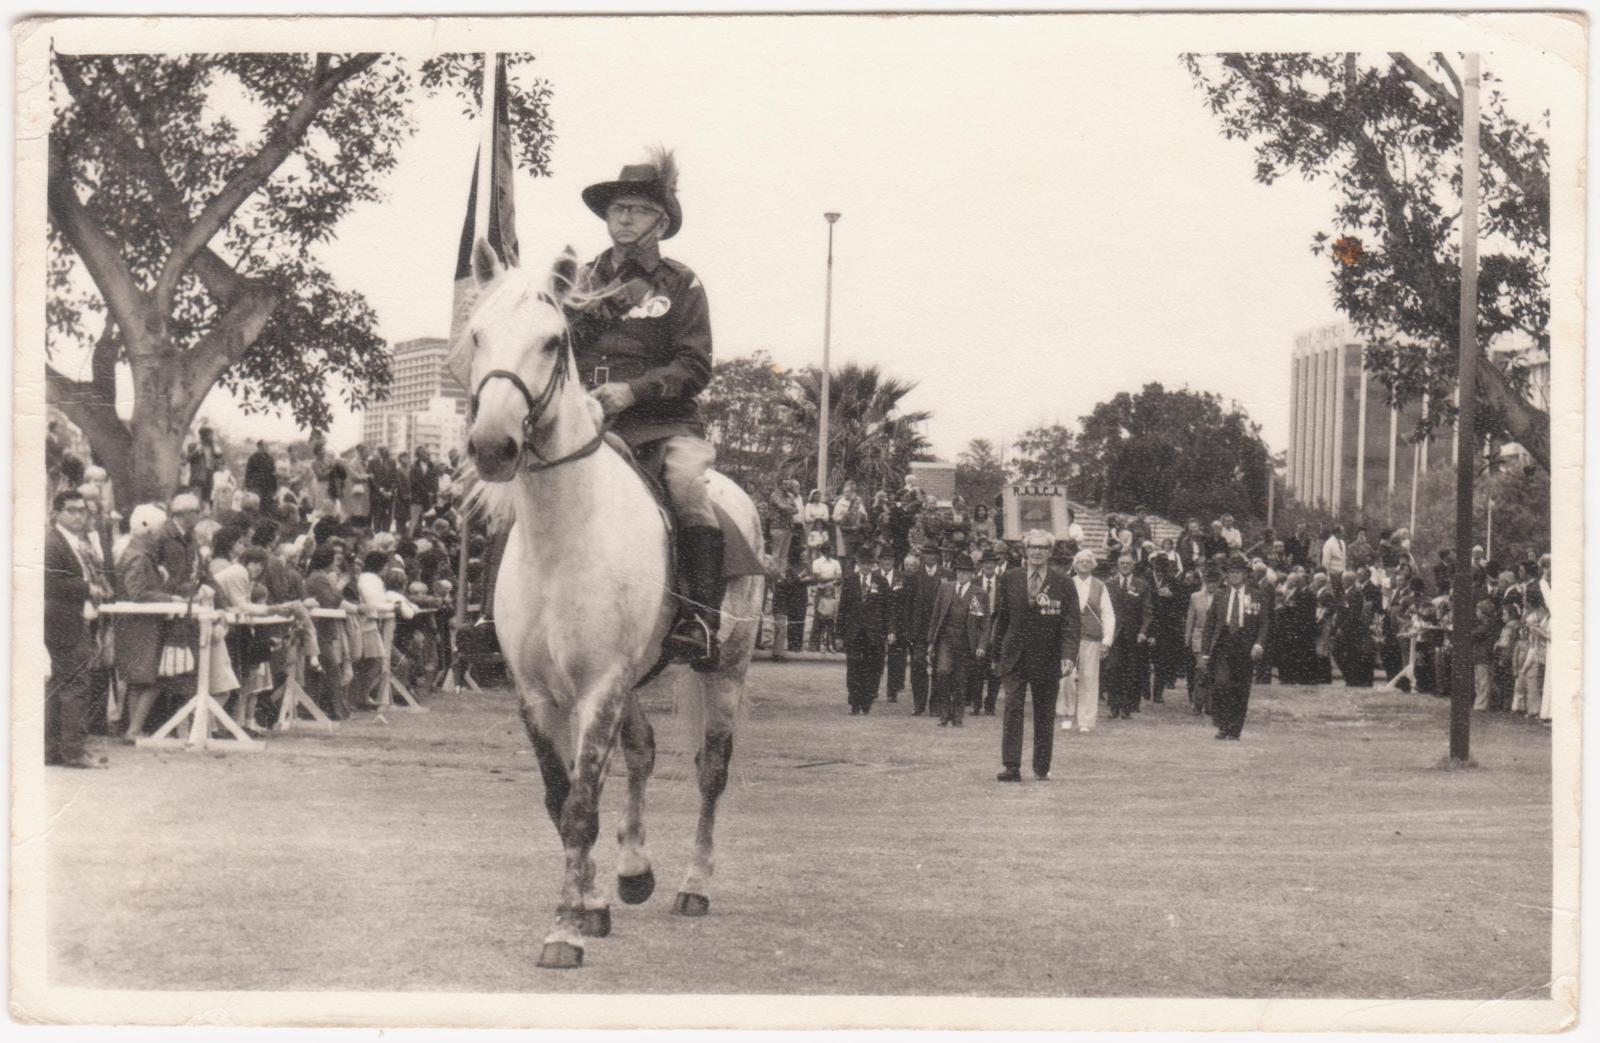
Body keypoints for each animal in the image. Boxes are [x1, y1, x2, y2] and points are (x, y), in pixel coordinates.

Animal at [460, 238, 764, 972]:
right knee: (644, 754)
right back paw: (632, 873)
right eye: (477, 333)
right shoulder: (539, 693)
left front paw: (564, 930)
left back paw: (693, 885)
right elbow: (562, 797)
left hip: (726, 669)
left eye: (553, 340)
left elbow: (580, 806)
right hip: (634, 681)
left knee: (711, 769)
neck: (564, 536)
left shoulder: (599, 684)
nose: (492, 445)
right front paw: (591, 903)